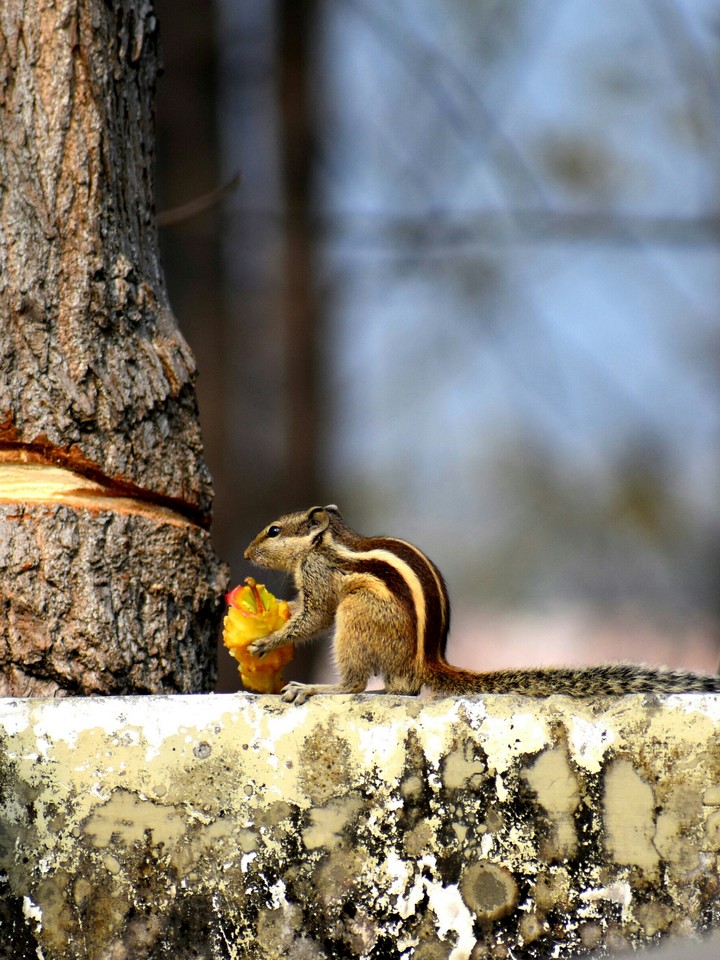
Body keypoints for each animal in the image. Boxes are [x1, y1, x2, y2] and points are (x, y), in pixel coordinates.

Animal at [244, 504, 720, 704]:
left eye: (273, 530)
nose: (246, 554)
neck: (325, 542)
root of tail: (428, 660)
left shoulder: (321, 578)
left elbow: (315, 617)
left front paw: (265, 642)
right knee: (400, 688)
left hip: (359, 617)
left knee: (359, 686)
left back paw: (314, 688)